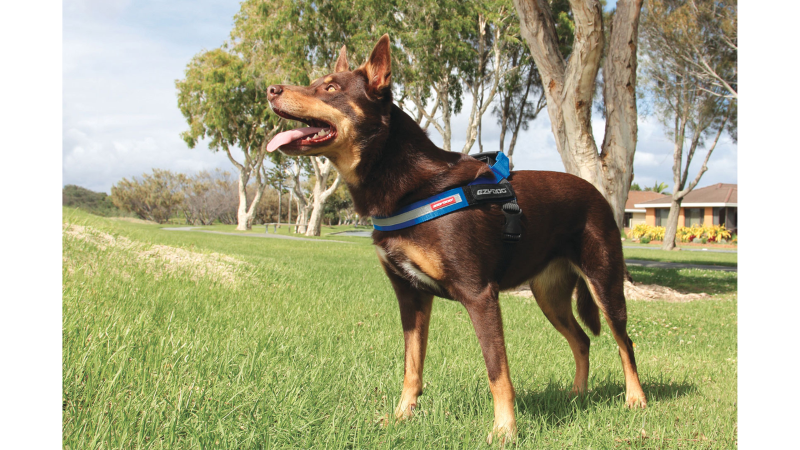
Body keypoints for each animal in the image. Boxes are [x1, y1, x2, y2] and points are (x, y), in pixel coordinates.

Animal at [266, 35, 648, 442]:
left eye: (330, 88)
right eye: (315, 82)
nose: (271, 90)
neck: (409, 186)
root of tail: (597, 194)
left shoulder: (479, 295)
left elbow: (498, 371)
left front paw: (505, 431)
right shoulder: (410, 295)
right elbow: (412, 366)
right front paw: (402, 417)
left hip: (605, 283)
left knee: (625, 342)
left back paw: (635, 399)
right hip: (550, 296)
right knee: (582, 340)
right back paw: (577, 394)